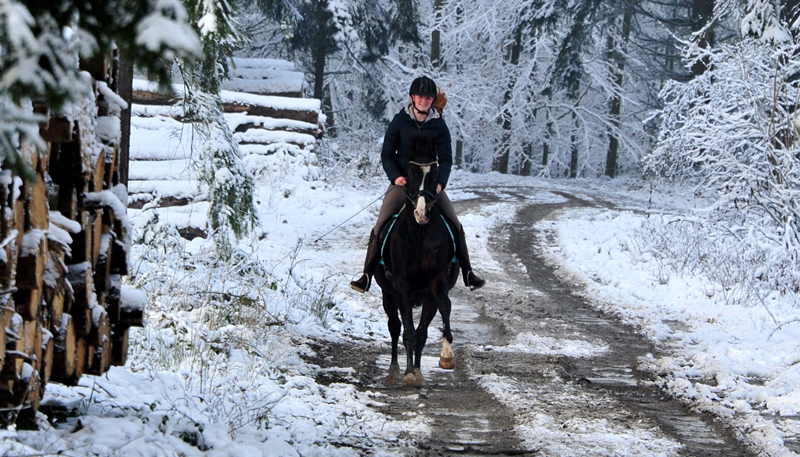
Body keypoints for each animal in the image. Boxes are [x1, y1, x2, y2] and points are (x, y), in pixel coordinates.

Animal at [374, 152, 460, 384]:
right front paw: (409, 373)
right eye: (410, 175)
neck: (420, 233)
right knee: (395, 327)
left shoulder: (437, 280)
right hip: (388, 294)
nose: (421, 212)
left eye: (436, 175)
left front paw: (446, 356)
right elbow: (407, 331)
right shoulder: (403, 285)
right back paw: (395, 369)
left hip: (426, 298)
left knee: (421, 331)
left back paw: (419, 370)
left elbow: (444, 306)